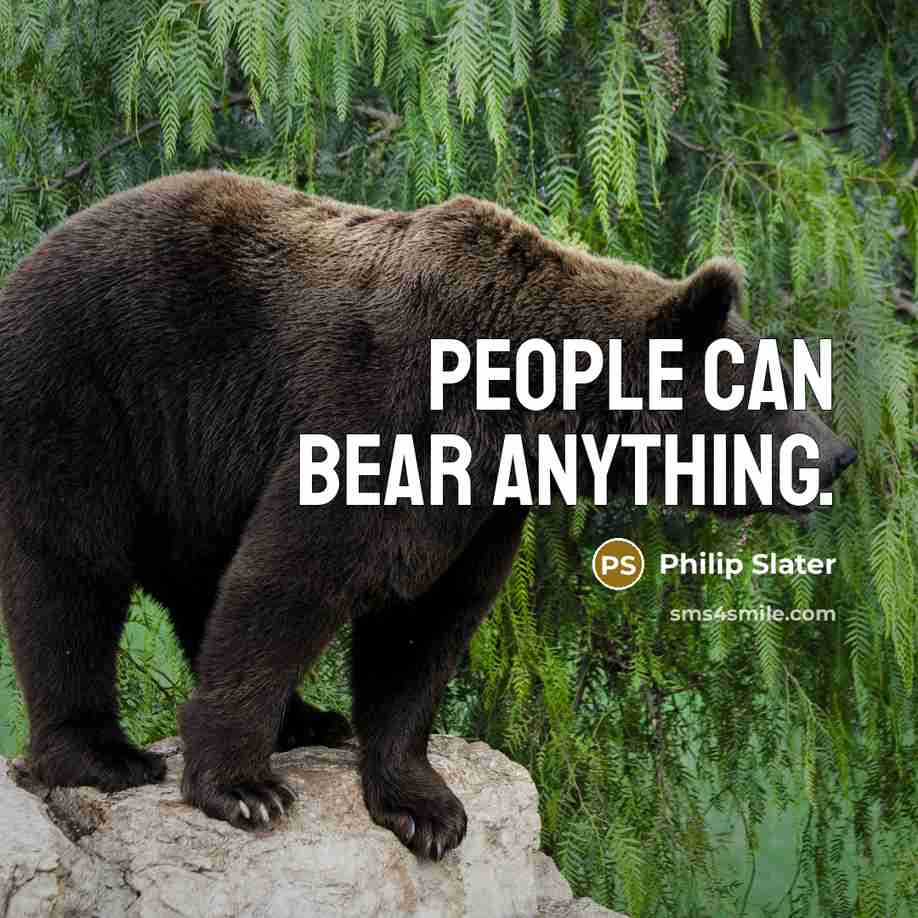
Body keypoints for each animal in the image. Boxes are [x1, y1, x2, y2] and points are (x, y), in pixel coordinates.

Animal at [0, 170, 856, 860]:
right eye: (773, 390)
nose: (838, 454)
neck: (523, 408)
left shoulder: (482, 508)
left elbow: (424, 629)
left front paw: (425, 808)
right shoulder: (383, 413)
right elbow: (292, 577)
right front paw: (244, 788)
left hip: (191, 470)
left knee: (194, 580)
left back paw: (309, 719)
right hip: (90, 393)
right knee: (70, 574)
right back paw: (104, 754)